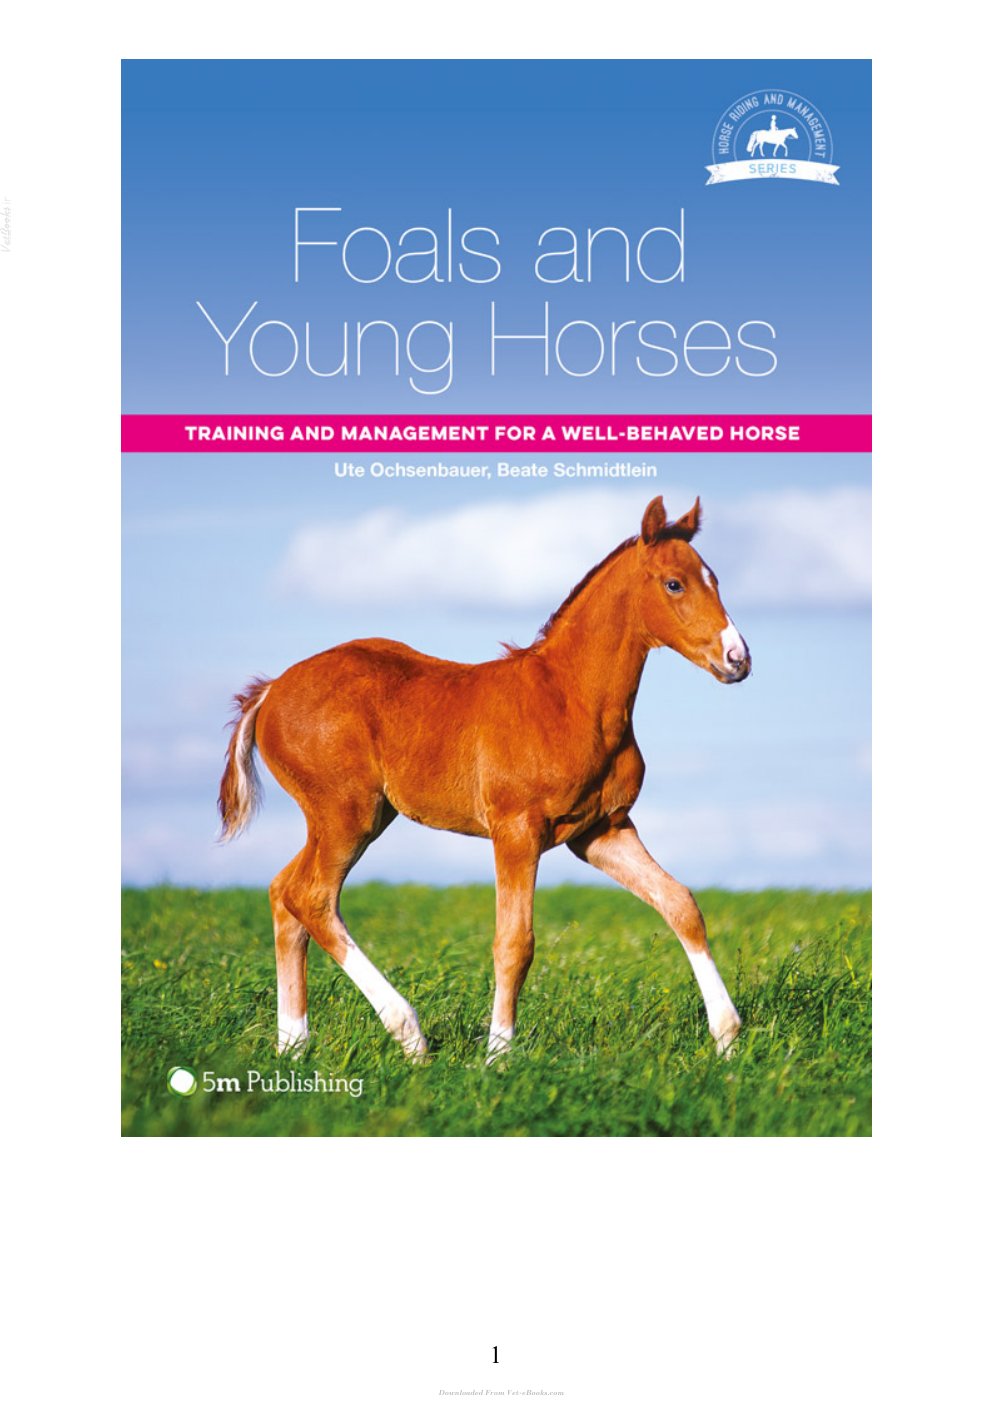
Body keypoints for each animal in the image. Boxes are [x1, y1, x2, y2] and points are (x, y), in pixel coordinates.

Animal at [218, 495, 751, 1063]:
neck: (570, 699)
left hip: (353, 816)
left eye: (714, 579)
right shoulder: (516, 830)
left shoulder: (601, 831)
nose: (738, 659)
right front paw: (498, 1054)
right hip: (346, 813)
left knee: (283, 893)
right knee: (311, 897)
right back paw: (408, 1033)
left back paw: (293, 1045)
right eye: (674, 584)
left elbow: (680, 904)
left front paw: (727, 1037)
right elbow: (515, 942)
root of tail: (270, 690)